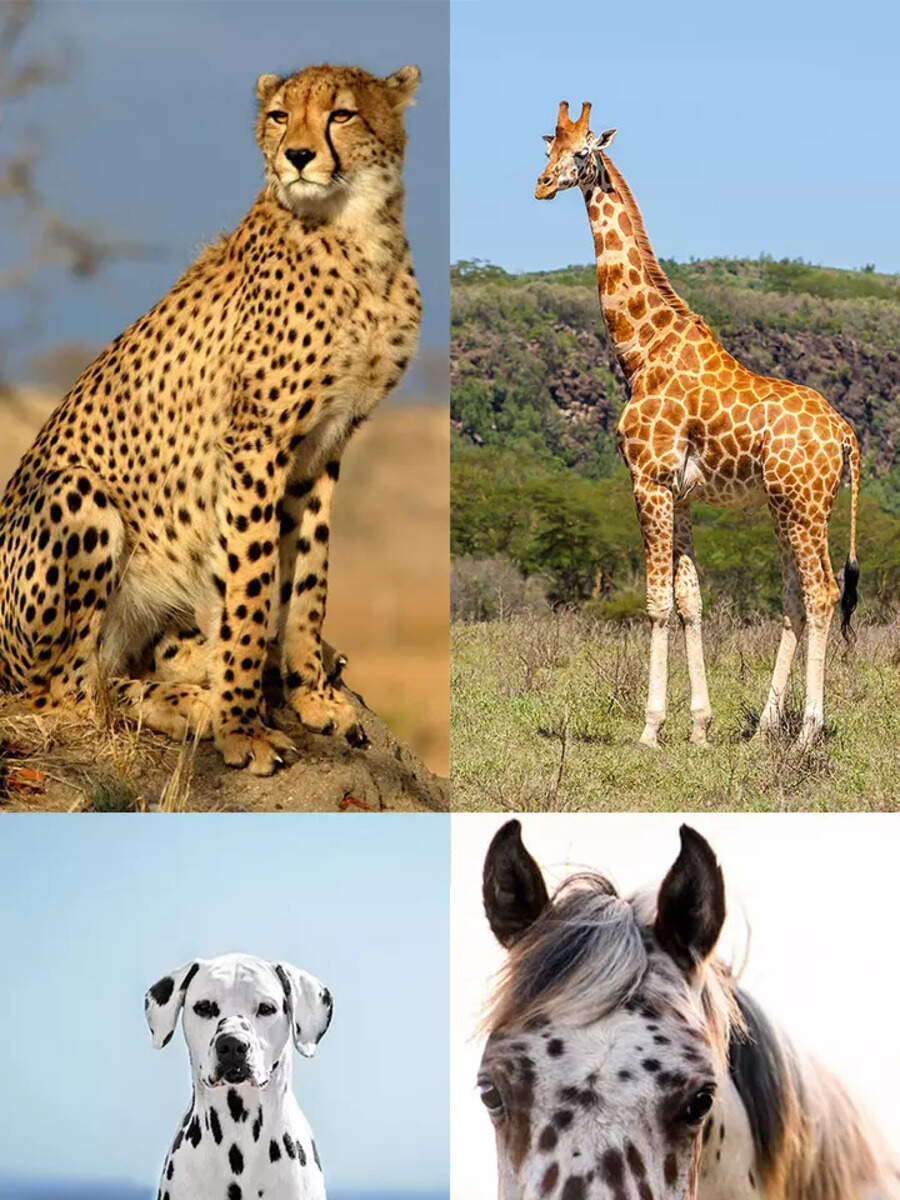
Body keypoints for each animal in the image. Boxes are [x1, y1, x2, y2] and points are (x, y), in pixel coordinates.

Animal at [0, 62, 423, 775]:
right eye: (280, 116)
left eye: (341, 115)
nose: (297, 156)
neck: (357, 233)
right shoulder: (257, 442)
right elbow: (252, 583)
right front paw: (243, 727)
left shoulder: (324, 443)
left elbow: (308, 576)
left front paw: (311, 691)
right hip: (76, 493)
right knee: (69, 698)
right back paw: (192, 700)